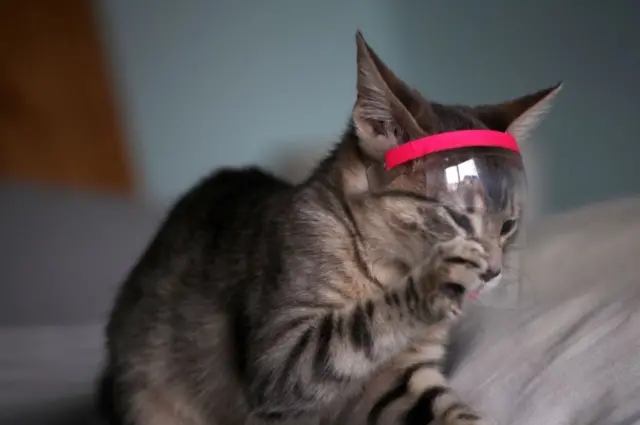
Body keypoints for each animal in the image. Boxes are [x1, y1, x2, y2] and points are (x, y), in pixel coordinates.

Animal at [99, 30, 560, 424]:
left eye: (509, 225)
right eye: (459, 217)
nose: (493, 271)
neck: (383, 268)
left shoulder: (401, 377)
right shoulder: (278, 360)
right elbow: (354, 331)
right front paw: (437, 276)